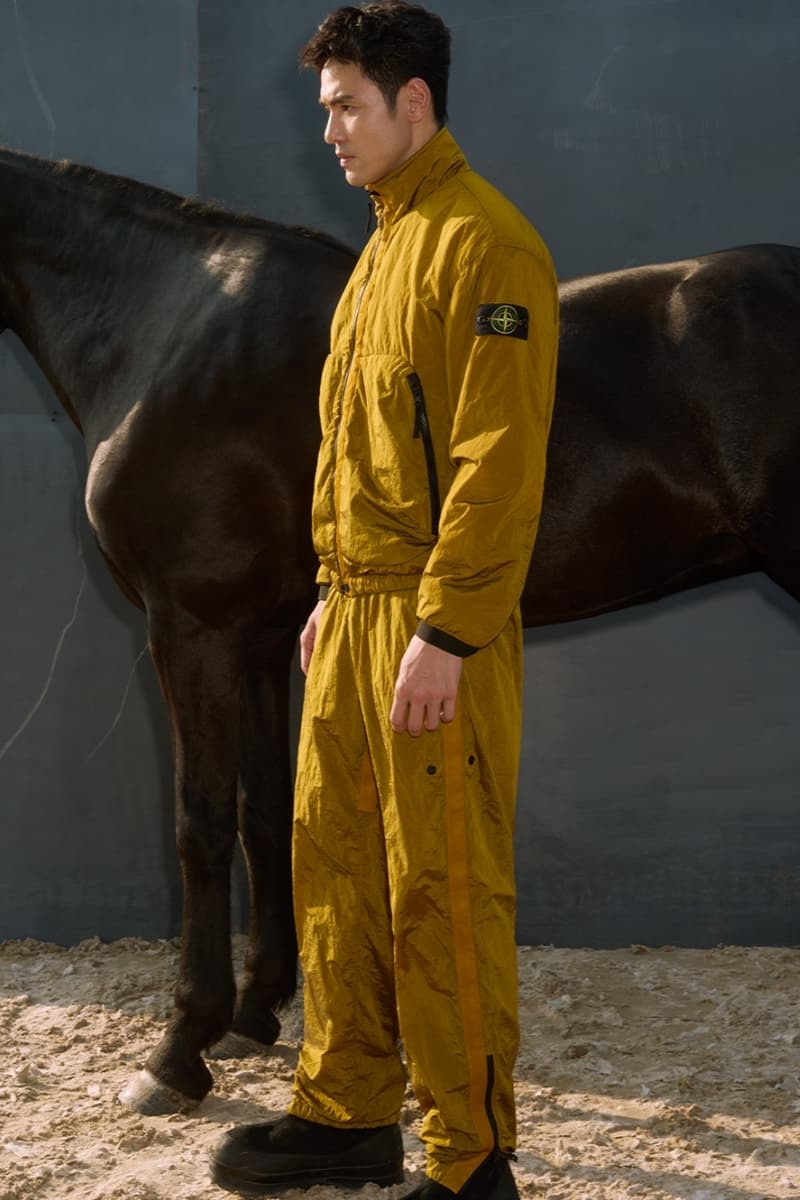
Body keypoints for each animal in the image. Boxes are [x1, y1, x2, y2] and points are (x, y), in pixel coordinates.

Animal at [2, 145, 798, 1115]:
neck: (164, 322)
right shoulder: (261, 638)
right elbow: (264, 811)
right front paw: (256, 1012)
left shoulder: (193, 626)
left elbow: (200, 821)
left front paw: (178, 1050)